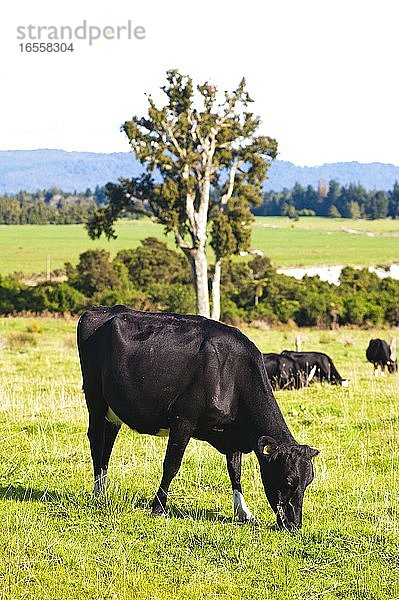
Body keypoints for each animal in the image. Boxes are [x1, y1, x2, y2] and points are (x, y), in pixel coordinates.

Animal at [78, 308, 320, 532]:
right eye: (289, 480)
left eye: (309, 481)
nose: (295, 525)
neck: (232, 375)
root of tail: (101, 310)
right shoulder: (183, 420)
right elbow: (171, 465)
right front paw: (158, 507)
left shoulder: (233, 436)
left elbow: (235, 471)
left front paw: (243, 512)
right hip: (94, 396)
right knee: (96, 440)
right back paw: (98, 492)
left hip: (113, 409)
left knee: (108, 443)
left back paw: (104, 488)